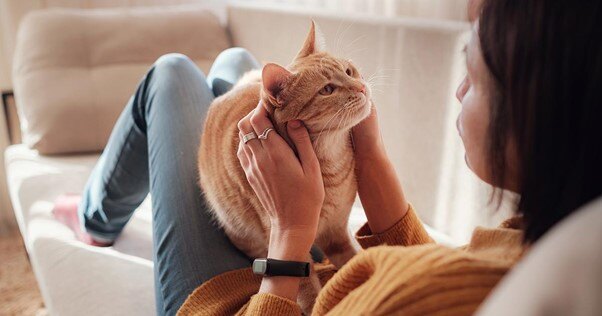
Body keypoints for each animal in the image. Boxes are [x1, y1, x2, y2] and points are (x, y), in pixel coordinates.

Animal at [197, 21, 370, 314]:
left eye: (348, 71)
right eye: (327, 90)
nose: (361, 87)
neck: (331, 163)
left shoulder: (337, 232)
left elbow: (353, 259)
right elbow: (308, 290)